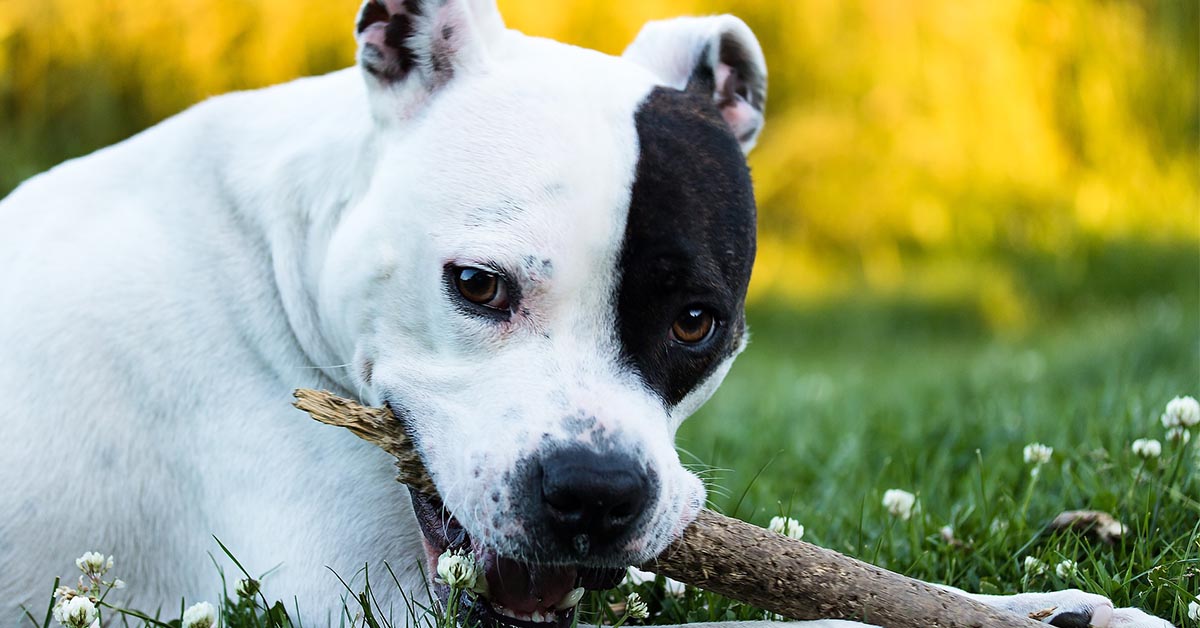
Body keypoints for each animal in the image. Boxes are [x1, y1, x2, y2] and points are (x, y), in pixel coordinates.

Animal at [0, 1, 1176, 628]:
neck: (275, 249)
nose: (595, 493)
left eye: (698, 321)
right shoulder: (358, 602)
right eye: (476, 286)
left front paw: (1047, 610)